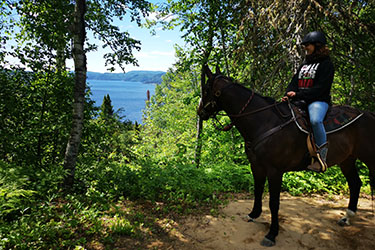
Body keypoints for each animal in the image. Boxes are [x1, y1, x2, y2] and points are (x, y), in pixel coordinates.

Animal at [198, 65, 375, 247]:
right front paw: (254, 214)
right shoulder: (256, 166)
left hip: (370, 158)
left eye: (206, 88)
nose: (200, 112)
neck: (265, 122)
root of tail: (370, 115)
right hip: (347, 160)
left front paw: (271, 234)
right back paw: (346, 218)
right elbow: (257, 190)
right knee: (355, 183)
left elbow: (274, 203)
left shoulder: (275, 171)